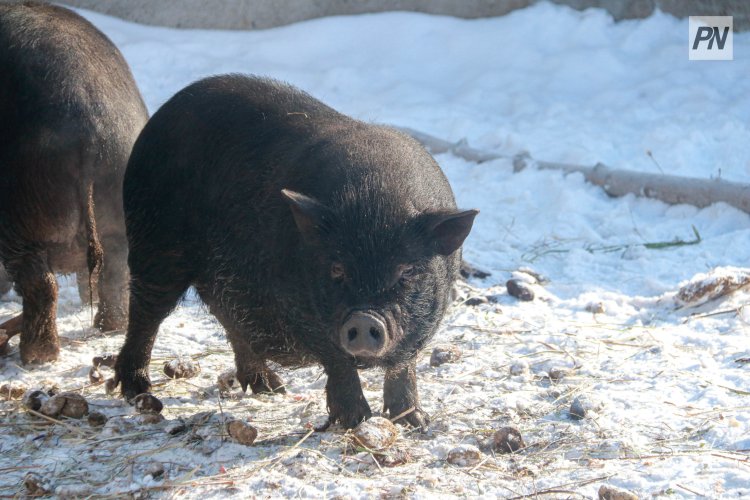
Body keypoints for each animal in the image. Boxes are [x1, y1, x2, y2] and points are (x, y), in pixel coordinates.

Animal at [0, 2, 148, 364]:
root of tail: (91, 130)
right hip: (119, 216)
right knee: (115, 270)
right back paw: (109, 328)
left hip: (21, 213)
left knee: (41, 284)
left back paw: (35, 357)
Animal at [114, 75, 478, 430]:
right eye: (337, 269)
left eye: (405, 271)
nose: (363, 318)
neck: (375, 199)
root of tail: (156, 121)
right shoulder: (307, 313)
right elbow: (339, 364)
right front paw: (355, 421)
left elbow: (403, 366)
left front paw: (416, 423)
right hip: (155, 243)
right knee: (145, 315)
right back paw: (139, 392)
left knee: (227, 317)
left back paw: (271, 387)